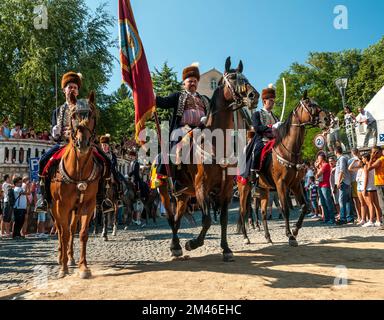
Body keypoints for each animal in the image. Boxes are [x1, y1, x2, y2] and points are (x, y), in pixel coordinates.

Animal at [50, 91, 103, 278]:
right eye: (73, 116)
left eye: (92, 115)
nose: (83, 143)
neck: (79, 169)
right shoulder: (62, 205)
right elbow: (64, 234)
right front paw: (63, 268)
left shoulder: (88, 204)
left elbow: (82, 234)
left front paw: (83, 267)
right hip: (54, 208)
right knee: (61, 230)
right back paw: (61, 258)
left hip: (75, 209)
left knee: (72, 228)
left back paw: (71, 257)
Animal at [158, 57, 260, 262]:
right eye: (232, 78)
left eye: (245, 77)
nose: (254, 96)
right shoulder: (202, 186)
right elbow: (206, 219)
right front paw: (192, 243)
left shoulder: (226, 188)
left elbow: (223, 219)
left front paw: (226, 249)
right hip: (165, 191)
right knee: (171, 219)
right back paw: (176, 246)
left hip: (184, 195)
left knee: (178, 218)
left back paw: (176, 246)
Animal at [237, 91, 330, 246]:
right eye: (310, 104)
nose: (327, 118)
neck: (289, 151)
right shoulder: (281, 184)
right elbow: (285, 208)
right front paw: (290, 235)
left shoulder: (295, 184)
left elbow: (305, 206)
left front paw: (295, 230)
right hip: (244, 188)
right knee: (243, 211)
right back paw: (245, 237)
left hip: (264, 190)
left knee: (263, 212)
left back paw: (268, 237)